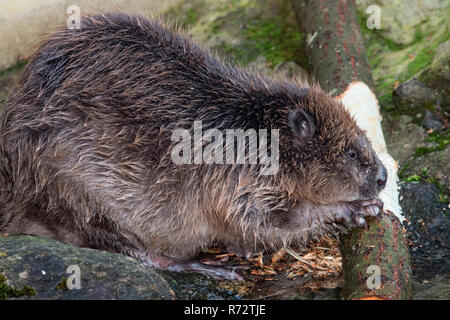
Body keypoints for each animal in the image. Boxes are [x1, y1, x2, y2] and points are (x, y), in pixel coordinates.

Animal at [0, 13, 386, 280]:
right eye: (351, 154)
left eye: (363, 140)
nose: (382, 176)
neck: (252, 131)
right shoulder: (238, 181)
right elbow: (266, 223)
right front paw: (357, 209)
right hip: (76, 191)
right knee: (139, 253)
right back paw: (213, 265)